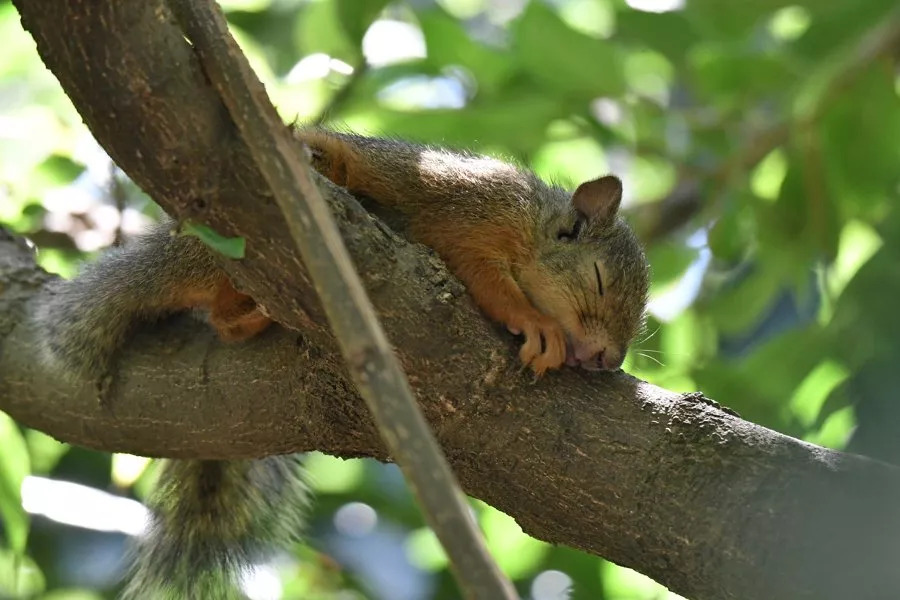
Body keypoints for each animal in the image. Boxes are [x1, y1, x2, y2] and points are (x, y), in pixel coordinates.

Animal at [28, 129, 648, 596]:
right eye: (598, 279)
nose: (605, 358)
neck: (530, 223)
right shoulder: (474, 213)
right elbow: (489, 281)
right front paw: (539, 325)